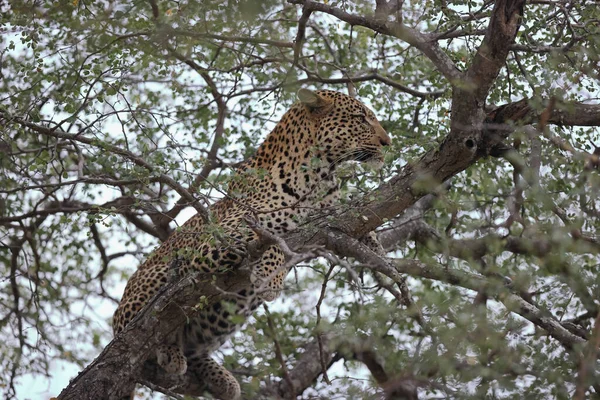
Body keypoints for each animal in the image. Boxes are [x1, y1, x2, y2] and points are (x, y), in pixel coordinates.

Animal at [113, 88, 392, 400]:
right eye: (361, 118)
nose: (388, 142)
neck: (320, 175)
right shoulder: (222, 236)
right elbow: (273, 238)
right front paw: (270, 278)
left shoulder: (335, 211)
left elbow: (362, 223)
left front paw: (381, 258)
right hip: (157, 279)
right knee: (150, 324)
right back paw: (168, 351)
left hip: (225, 316)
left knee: (192, 346)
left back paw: (222, 379)